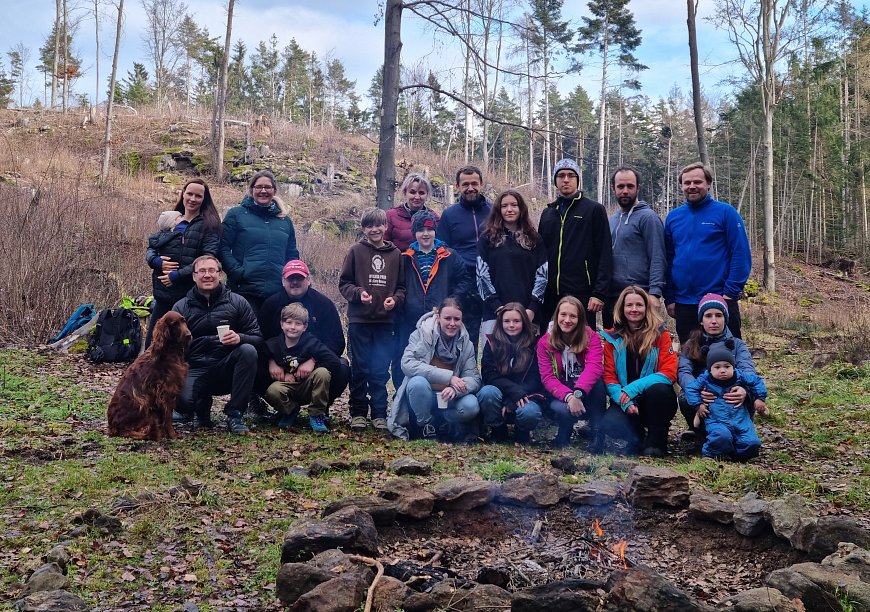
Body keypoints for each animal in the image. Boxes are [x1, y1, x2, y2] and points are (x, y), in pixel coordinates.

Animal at [107, 310, 192, 440]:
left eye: (183, 321)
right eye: (174, 324)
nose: (189, 335)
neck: (169, 351)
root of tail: (112, 426)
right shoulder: (166, 392)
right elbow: (168, 417)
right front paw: (172, 435)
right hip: (142, 402)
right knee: (128, 431)